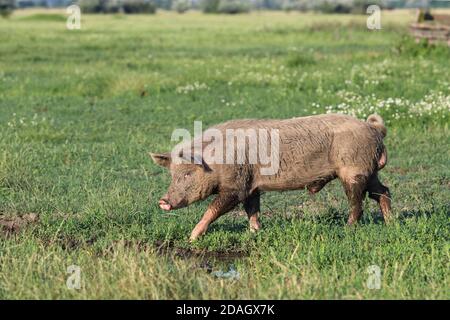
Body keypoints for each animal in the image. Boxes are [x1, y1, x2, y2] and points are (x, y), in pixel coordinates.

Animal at [150, 114, 390, 241]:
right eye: (172, 174)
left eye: (188, 173)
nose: (163, 201)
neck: (216, 162)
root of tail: (373, 127)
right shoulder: (251, 186)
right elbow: (252, 209)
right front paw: (255, 232)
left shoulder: (236, 187)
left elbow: (214, 208)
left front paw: (192, 237)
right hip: (370, 172)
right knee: (383, 192)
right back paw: (390, 222)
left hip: (353, 171)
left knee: (357, 201)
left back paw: (348, 228)